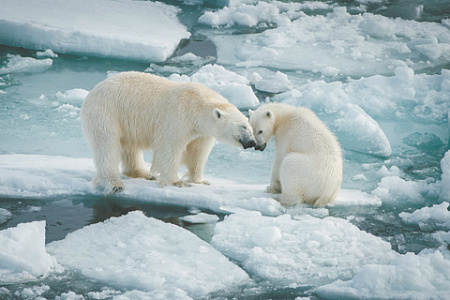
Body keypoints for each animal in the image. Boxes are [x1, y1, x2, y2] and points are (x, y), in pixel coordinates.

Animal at [81, 71, 256, 192]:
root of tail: (92, 92)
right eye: (243, 126)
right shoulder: (178, 116)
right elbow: (170, 147)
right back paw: (115, 183)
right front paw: (176, 182)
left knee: (130, 147)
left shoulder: (201, 132)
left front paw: (200, 180)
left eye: (250, 127)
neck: (198, 105)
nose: (252, 142)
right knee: (107, 145)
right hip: (106, 113)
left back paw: (144, 173)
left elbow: (197, 152)